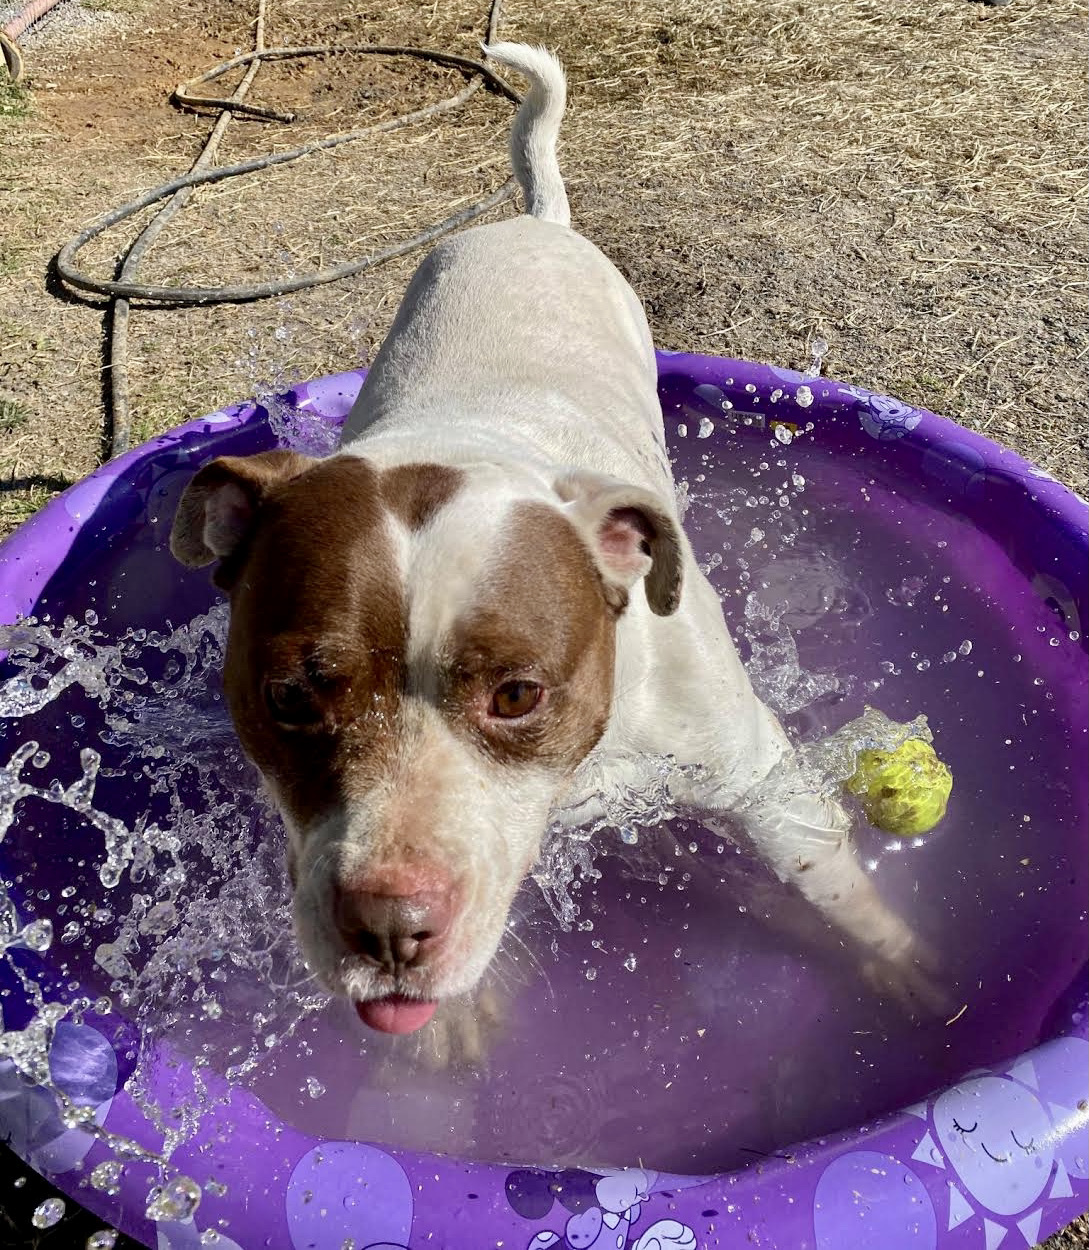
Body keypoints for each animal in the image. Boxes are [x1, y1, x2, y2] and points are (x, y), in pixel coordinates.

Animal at [166, 41, 940, 1035]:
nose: (389, 926)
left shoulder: (755, 771)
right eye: (290, 698)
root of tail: (533, 223)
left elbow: (823, 875)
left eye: (517, 695)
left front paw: (905, 964)